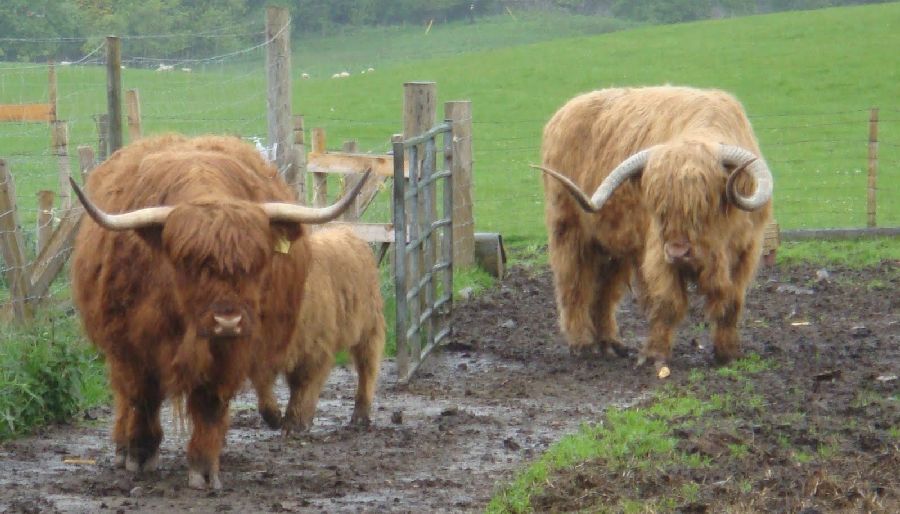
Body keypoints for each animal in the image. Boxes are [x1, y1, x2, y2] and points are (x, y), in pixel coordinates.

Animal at [68, 133, 368, 488]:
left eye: (257, 262)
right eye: (188, 261)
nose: (227, 320)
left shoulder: (231, 350)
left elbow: (210, 403)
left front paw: (204, 467)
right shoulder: (132, 345)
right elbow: (142, 396)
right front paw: (139, 454)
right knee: (125, 396)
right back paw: (122, 448)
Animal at [248, 226, 384, 430]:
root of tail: (348, 230)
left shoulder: (316, 344)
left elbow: (302, 382)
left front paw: (293, 422)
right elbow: (262, 381)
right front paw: (275, 417)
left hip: (369, 326)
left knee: (367, 364)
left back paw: (360, 416)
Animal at [536, 87, 772, 368]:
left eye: (705, 202)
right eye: (659, 207)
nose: (679, 252)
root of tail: (564, 111)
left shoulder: (745, 253)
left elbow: (730, 305)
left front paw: (729, 354)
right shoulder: (658, 254)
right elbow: (667, 303)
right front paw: (653, 355)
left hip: (615, 246)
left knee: (604, 291)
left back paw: (610, 344)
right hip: (569, 231)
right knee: (573, 285)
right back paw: (582, 343)